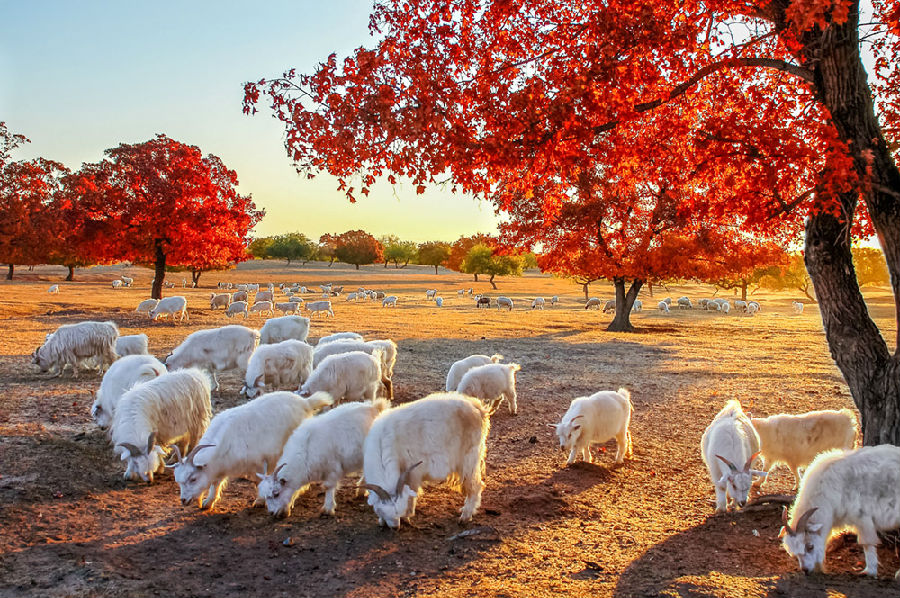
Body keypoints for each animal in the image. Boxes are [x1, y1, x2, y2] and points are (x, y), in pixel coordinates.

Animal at [169, 394, 330, 510]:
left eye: (193, 479)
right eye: (178, 481)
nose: (183, 500)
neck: (225, 441)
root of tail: (306, 403)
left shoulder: (257, 463)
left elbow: (258, 482)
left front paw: (259, 501)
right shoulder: (219, 468)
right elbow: (215, 484)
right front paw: (208, 502)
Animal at [780, 446, 900, 580]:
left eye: (810, 546)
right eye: (794, 553)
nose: (805, 570)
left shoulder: (862, 517)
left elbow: (867, 543)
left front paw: (869, 571)